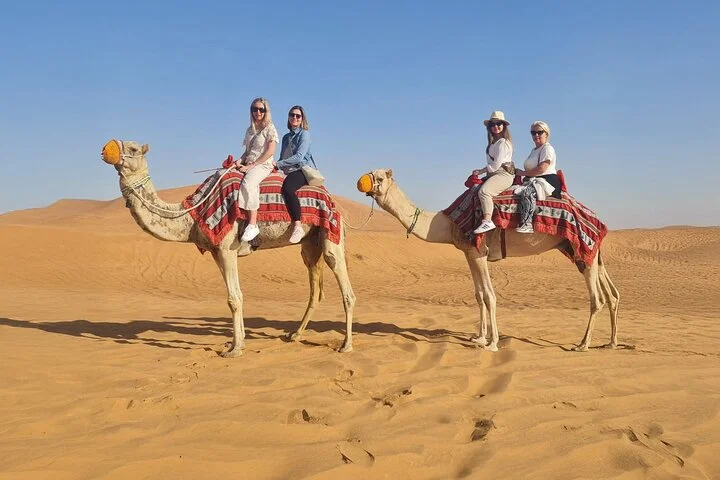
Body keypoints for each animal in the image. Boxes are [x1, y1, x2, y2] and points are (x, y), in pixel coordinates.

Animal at [101, 139, 356, 357]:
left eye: (133, 148)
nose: (104, 149)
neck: (193, 213)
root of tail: (333, 202)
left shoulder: (226, 248)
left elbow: (234, 298)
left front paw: (234, 349)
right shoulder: (216, 252)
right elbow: (235, 296)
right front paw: (237, 343)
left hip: (331, 234)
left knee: (346, 290)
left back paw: (346, 345)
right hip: (310, 244)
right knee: (315, 291)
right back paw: (294, 334)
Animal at [357, 169, 619, 352]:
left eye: (379, 177)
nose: (361, 182)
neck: (447, 223)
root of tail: (596, 219)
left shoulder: (480, 251)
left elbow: (490, 296)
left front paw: (492, 343)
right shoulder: (469, 253)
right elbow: (479, 295)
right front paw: (479, 337)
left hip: (581, 247)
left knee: (597, 298)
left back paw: (582, 344)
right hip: (583, 251)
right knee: (611, 294)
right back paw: (612, 342)